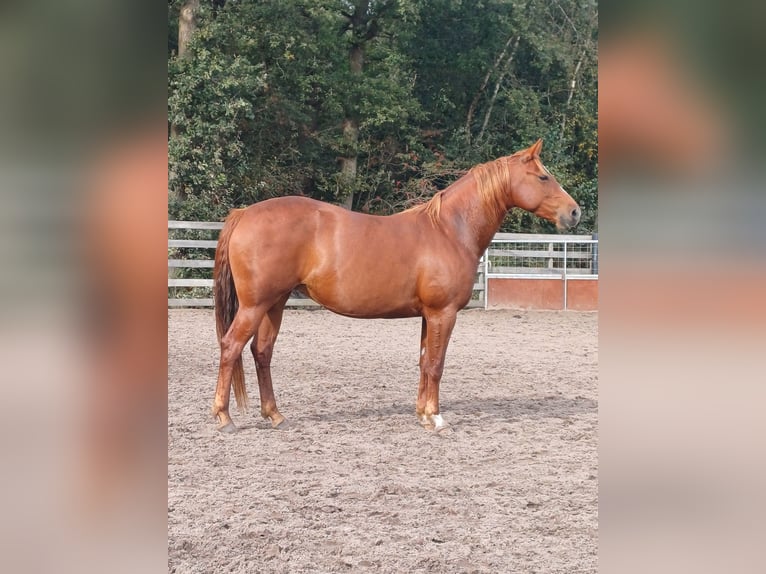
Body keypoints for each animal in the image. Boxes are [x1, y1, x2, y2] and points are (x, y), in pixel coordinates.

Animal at [213, 142, 580, 434]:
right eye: (543, 177)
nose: (574, 212)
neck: (449, 231)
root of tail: (244, 213)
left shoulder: (428, 316)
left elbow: (424, 361)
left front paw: (423, 415)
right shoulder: (443, 314)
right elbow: (436, 364)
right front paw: (437, 420)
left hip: (274, 303)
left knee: (262, 352)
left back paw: (274, 415)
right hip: (255, 305)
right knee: (231, 347)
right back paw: (224, 418)